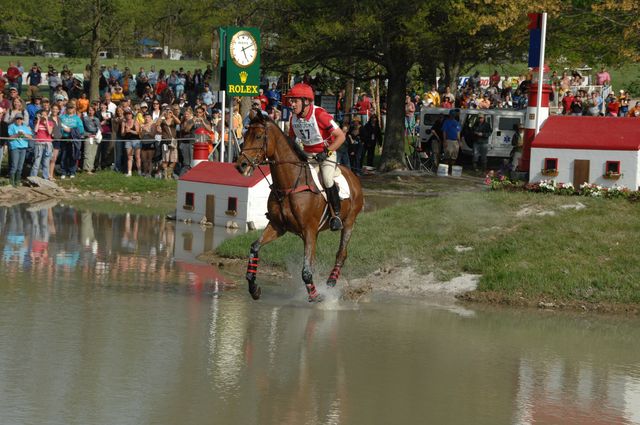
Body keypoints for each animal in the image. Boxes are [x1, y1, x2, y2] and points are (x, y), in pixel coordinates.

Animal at [236, 111, 364, 300]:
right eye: (245, 136)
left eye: (258, 136)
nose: (241, 165)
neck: (290, 185)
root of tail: (353, 175)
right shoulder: (277, 226)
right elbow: (255, 247)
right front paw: (253, 287)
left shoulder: (309, 230)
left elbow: (306, 271)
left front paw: (316, 296)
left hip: (349, 222)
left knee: (341, 253)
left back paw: (331, 282)